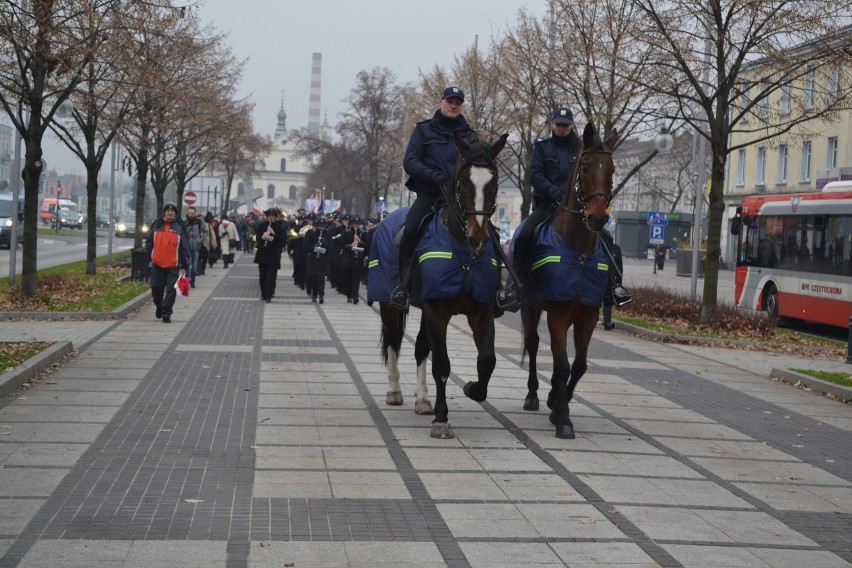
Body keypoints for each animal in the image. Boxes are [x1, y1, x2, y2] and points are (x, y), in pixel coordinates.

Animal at [376, 133, 510, 440]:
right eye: (463, 181)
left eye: (495, 181)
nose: (478, 237)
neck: (465, 256)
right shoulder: (437, 310)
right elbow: (442, 364)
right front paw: (441, 417)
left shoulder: (481, 311)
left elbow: (487, 360)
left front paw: (473, 388)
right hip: (390, 304)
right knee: (393, 341)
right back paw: (395, 391)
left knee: (419, 349)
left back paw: (423, 399)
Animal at [520, 123, 620, 440]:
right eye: (585, 166)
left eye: (612, 169)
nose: (598, 218)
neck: (579, 252)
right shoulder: (559, 312)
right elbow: (562, 364)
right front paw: (562, 419)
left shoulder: (587, 314)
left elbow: (578, 365)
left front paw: (558, 403)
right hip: (529, 307)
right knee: (534, 345)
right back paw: (533, 396)